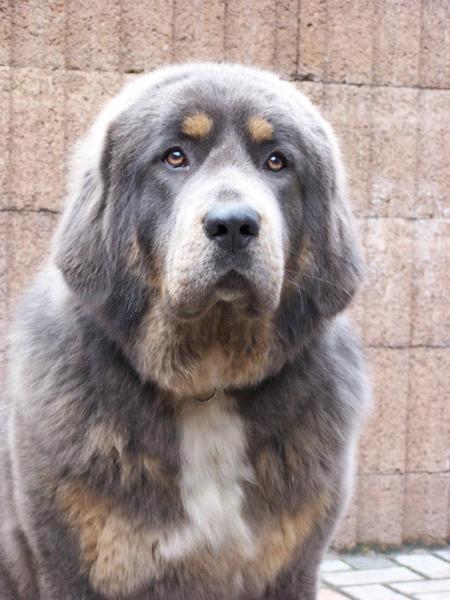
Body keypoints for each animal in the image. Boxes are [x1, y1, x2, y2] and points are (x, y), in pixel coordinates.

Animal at [0, 63, 369, 600]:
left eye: (276, 162)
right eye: (175, 156)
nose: (234, 224)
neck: (208, 386)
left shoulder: (293, 567)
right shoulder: (67, 566)